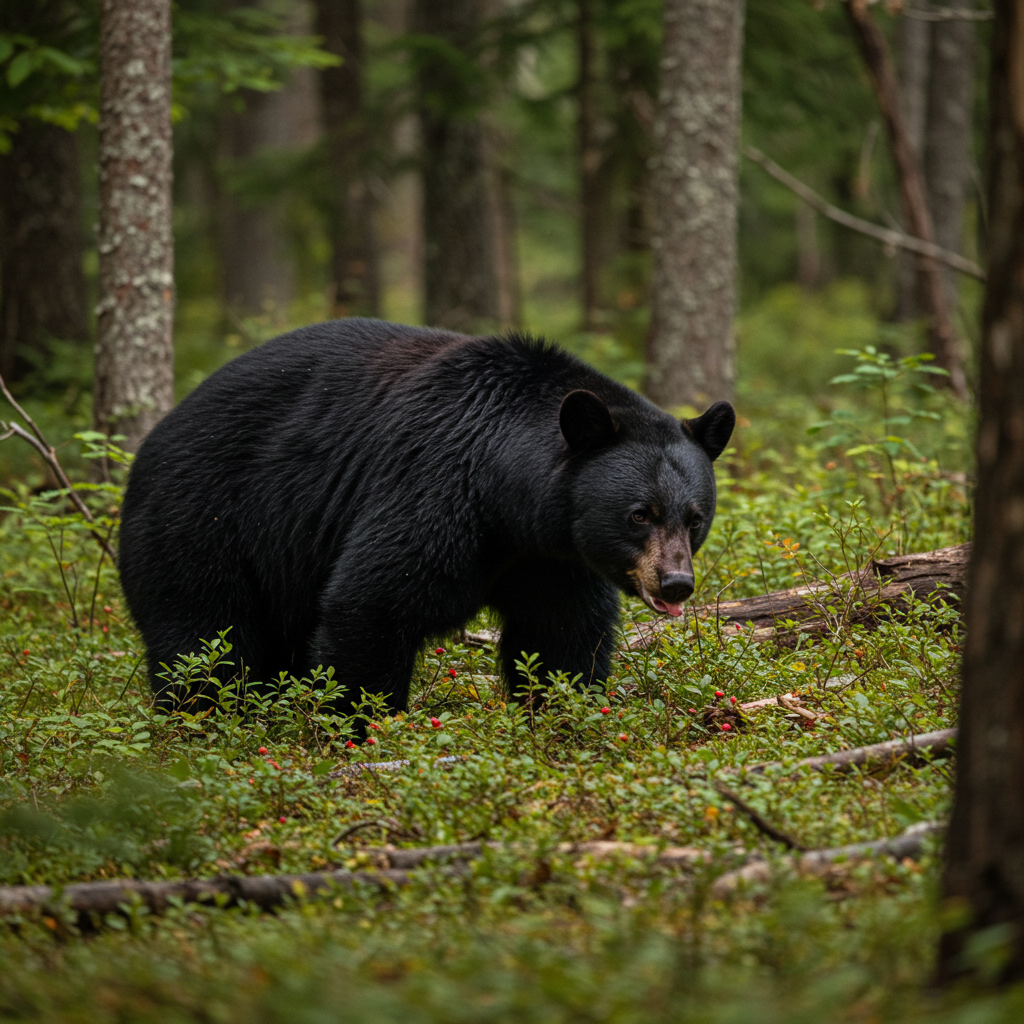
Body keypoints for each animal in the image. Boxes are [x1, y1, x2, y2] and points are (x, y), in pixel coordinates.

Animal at [117, 318, 735, 717]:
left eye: (694, 517)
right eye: (639, 514)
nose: (675, 583)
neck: (506, 494)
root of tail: (150, 442)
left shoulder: (554, 556)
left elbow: (562, 635)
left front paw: (562, 713)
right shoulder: (434, 487)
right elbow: (371, 604)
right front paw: (363, 725)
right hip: (204, 521)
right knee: (203, 638)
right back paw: (204, 720)